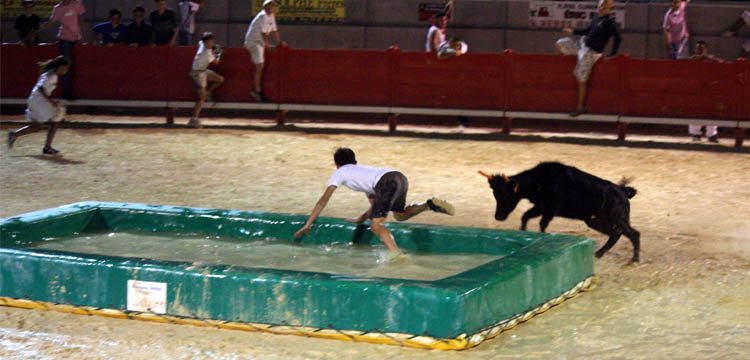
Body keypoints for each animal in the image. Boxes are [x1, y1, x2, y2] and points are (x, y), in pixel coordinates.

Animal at [484, 162, 644, 262]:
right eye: (495, 194)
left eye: (506, 194)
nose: (498, 216)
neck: (538, 181)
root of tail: (622, 190)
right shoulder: (540, 207)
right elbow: (525, 217)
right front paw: (524, 233)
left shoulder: (549, 210)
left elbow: (541, 224)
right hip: (595, 220)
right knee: (615, 234)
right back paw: (599, 253)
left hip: (615, 219)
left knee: (632, 234)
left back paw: (634, 259)